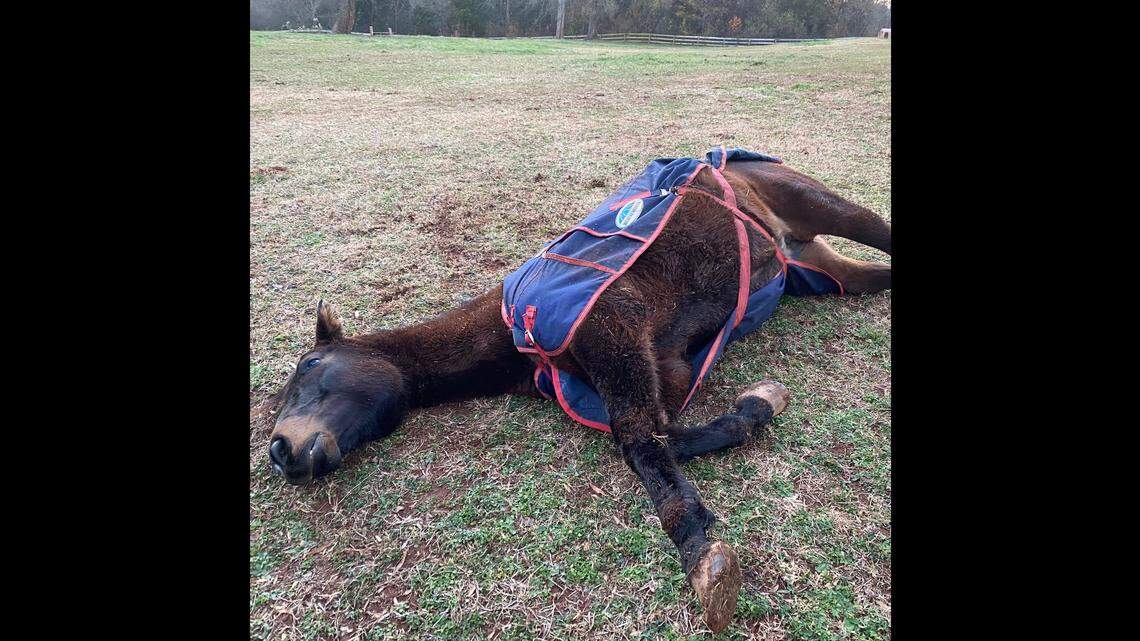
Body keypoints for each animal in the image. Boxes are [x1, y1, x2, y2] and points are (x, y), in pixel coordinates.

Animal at [262, 154, 891, 632]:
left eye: (311, 364)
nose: (280, 451)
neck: (513, 334)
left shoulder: (614, 323)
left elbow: (639, 442)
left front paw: (699, 555)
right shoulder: (665, 367)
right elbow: (663, 433)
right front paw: (757, 406)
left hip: (817, 202)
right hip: (818, 267)